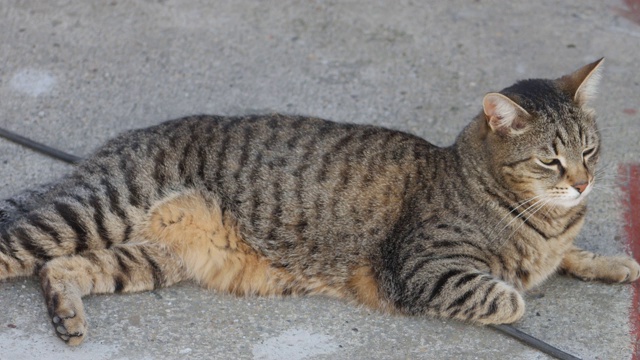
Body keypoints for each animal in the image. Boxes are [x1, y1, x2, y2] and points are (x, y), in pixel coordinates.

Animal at [1, 58, 640, 346]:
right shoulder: (423, 270)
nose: (583, 183)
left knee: (60, 269)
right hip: (98, 210)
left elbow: (570, 256)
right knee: (18, 249)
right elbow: (511, 297)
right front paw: (521, 284)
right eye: (550, 161)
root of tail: (112, 145)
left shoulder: (558, 238)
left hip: (153, 258)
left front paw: (611, 263)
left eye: (590, 150)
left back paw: (66, 316)